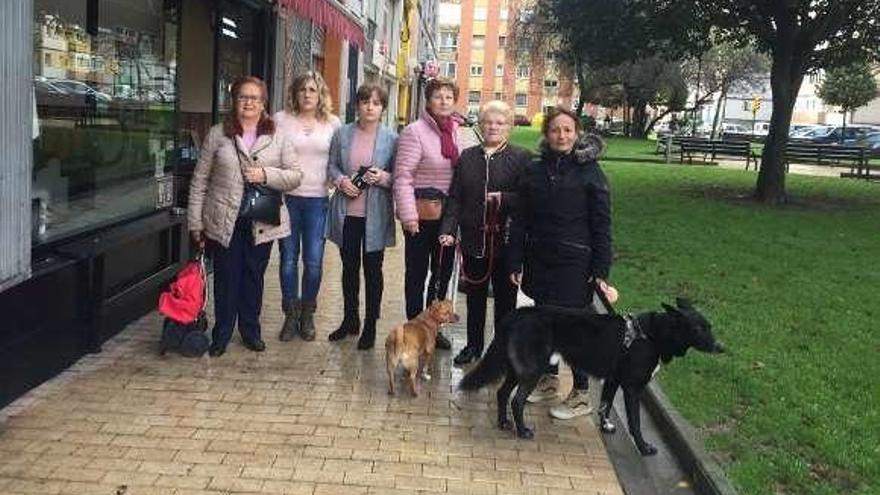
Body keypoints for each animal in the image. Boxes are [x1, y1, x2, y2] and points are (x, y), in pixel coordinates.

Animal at [460, 298, 720, 454]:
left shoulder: (614, 381)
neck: (652, 335)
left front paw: (606, 426)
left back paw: (504, 423)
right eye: (698, 329)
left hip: (518, 369)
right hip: (532, 370)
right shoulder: (632, 388)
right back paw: (522, 431)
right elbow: (635, 422)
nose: (721, 347)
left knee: (502, 393)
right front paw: (644, 447)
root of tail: (517, 313)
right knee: (516, 400)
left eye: (710, 327)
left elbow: (605, 406)